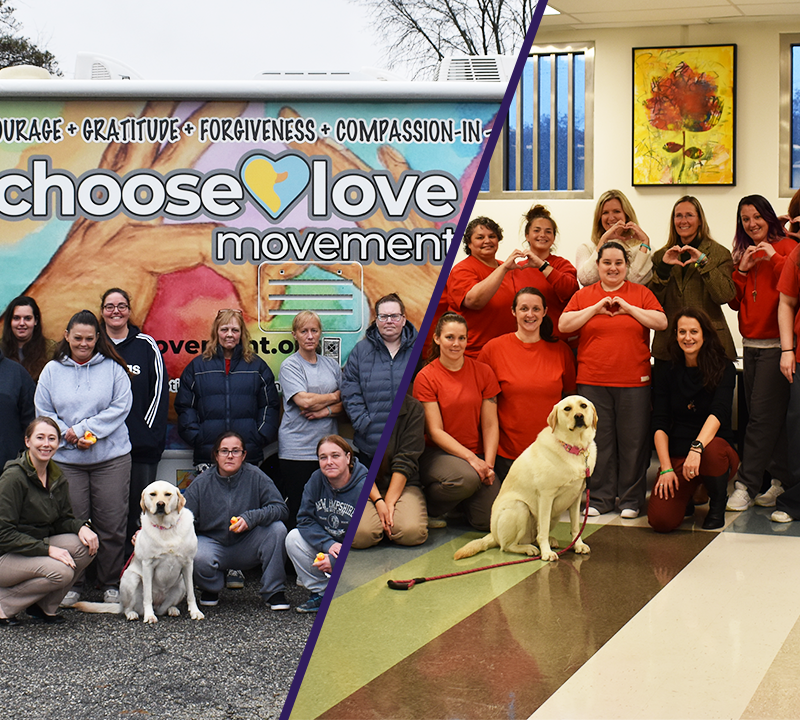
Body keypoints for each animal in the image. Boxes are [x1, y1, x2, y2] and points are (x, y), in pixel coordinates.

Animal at [74, 480, 205, 620]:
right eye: (152, 494)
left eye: (168, 494)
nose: (160, 504)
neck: (165, 528)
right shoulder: (148, 564)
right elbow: (147, 596)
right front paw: (149, 616)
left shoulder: (188, 564)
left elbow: (191, 593)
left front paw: (195, 612)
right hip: (131, 578)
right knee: (128, 608)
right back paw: (132, 613)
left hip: (180, 584)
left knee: (165, 608)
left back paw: (172, 609)